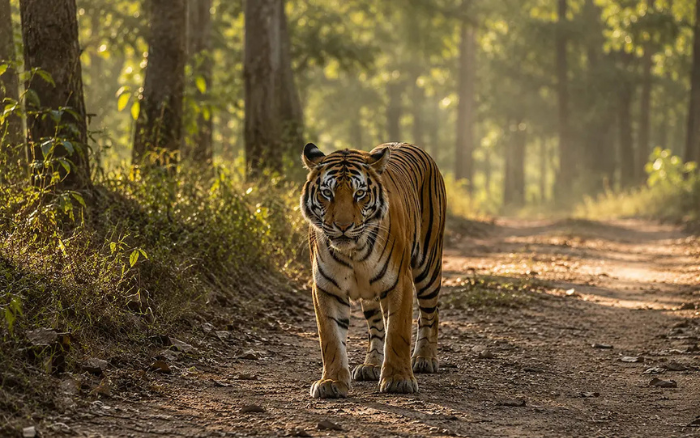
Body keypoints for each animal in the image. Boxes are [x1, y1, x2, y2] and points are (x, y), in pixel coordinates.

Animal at [300, 142, 447, 398]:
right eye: (327, 193)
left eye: (360, 194)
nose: (343, 226)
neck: (353, 253)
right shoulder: (326, 287)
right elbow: (331, 338)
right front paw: (331, 382)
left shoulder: (400, 281)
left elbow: (398, 332)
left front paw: (398, 380)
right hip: (370, 295)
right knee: (377, 325)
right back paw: (372, 365)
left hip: (428, 268)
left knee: (430, 314)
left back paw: (425, 359)